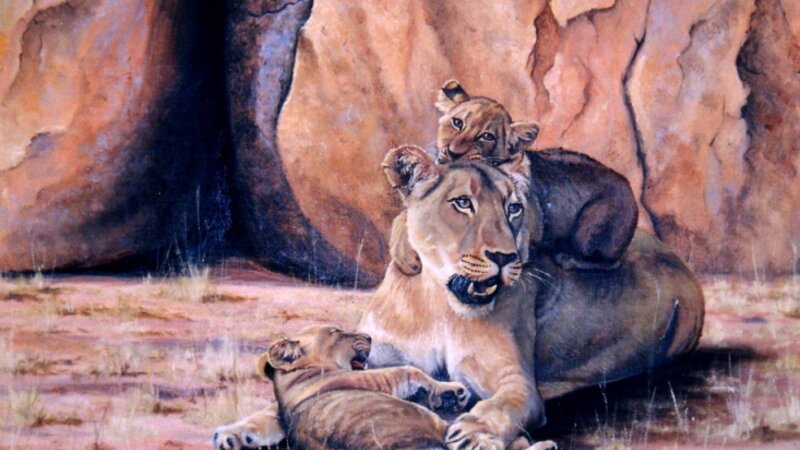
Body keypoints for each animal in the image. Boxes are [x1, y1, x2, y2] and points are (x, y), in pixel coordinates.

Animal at [390, 80, 638, 274]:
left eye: (486, 136)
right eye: (457, 123)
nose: (453, 152)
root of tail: (628, 186)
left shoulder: (530, 222)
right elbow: (406, 215)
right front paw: (405, 255)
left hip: (589, 231)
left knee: (612, 262)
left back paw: (566, 258)